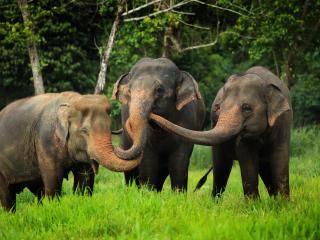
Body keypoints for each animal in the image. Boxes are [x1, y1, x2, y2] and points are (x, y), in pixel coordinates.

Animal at [0, 91, 140, 211]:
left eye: (110, 128)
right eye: (84, 131)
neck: (72, 101)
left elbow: (84, 180)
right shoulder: (45, 140)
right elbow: (53, 180)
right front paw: (53, 209)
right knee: (7, 196)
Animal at [111, 56, 205, 191]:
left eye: (159, 90)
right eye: (129, 91)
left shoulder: (188, 120)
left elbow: (179, 161)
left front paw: (179, 193)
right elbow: (148, 160)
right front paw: (147, 192)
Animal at [151, 66, 294, 198]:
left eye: (247, 108)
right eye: (218, 108)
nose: (151, 114)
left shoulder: (283, 121)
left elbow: (280, 156)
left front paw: (283, 204)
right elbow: (247, 160)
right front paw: (254, 205)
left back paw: (274, 198)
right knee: (221, 167)